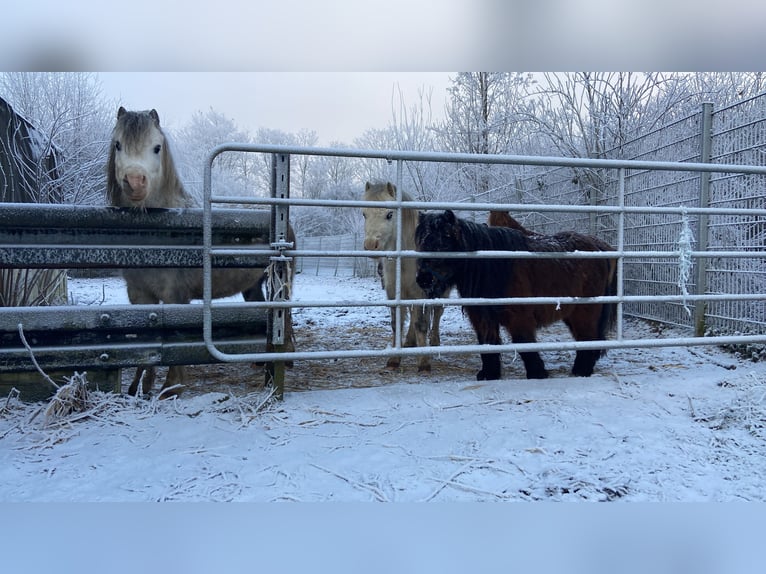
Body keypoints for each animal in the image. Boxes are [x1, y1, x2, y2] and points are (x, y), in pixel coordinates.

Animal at [109, 107, 296, 396]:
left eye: (156, 147)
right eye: (118, 144)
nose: (135, 182)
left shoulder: (175, 296)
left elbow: (173, 339)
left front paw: (171, 387)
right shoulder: (139, 295)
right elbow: (149, 339)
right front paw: (138, 388)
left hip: (282, 282)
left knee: (284, 316)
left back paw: (285, 361)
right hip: (253, 285)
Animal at [416, 212, 620, 382]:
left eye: (444, 242)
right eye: (421, 243)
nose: (423, 279)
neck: (494, 267)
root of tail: (599, 245)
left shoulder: (519, 316)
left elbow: (524, 342)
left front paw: (537, 373)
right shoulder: (482, 317)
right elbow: (487, 345)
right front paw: (489, 374)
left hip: (585, 312)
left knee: (588, 338)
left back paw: (581, 371)